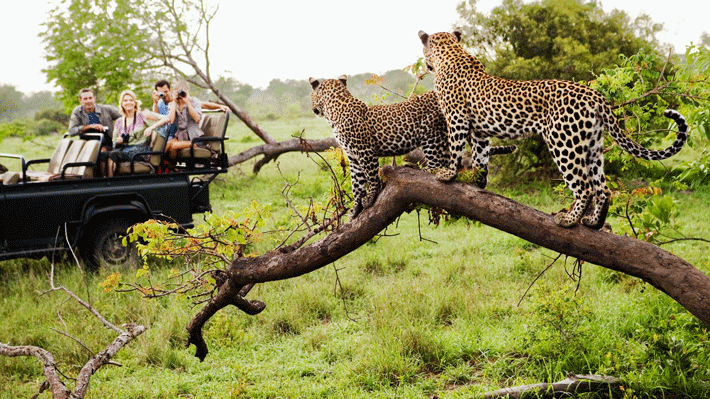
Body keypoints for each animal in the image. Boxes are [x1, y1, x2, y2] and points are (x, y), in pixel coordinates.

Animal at [310, 75, 516, 219]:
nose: (313, 108)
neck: (334, 110)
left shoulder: (365, 151)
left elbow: (371, 177)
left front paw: (370, 198)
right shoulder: (353, 157)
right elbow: (357, 184)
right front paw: (355, 208)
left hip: (431, 134)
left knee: (437, 165)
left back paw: (419, 168)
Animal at [418, 28, 688, 230]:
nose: (425, 64)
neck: (451, 53)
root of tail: (595, 95)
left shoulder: (456, 118)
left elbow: (455, 148)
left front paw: (447, 174)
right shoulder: (480, 131)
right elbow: (481, 156)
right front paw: (478, 181)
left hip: (564, 142)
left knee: (585, 186)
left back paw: (569, 220)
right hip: (592, 145)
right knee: (603, 188)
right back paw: (593, 222)